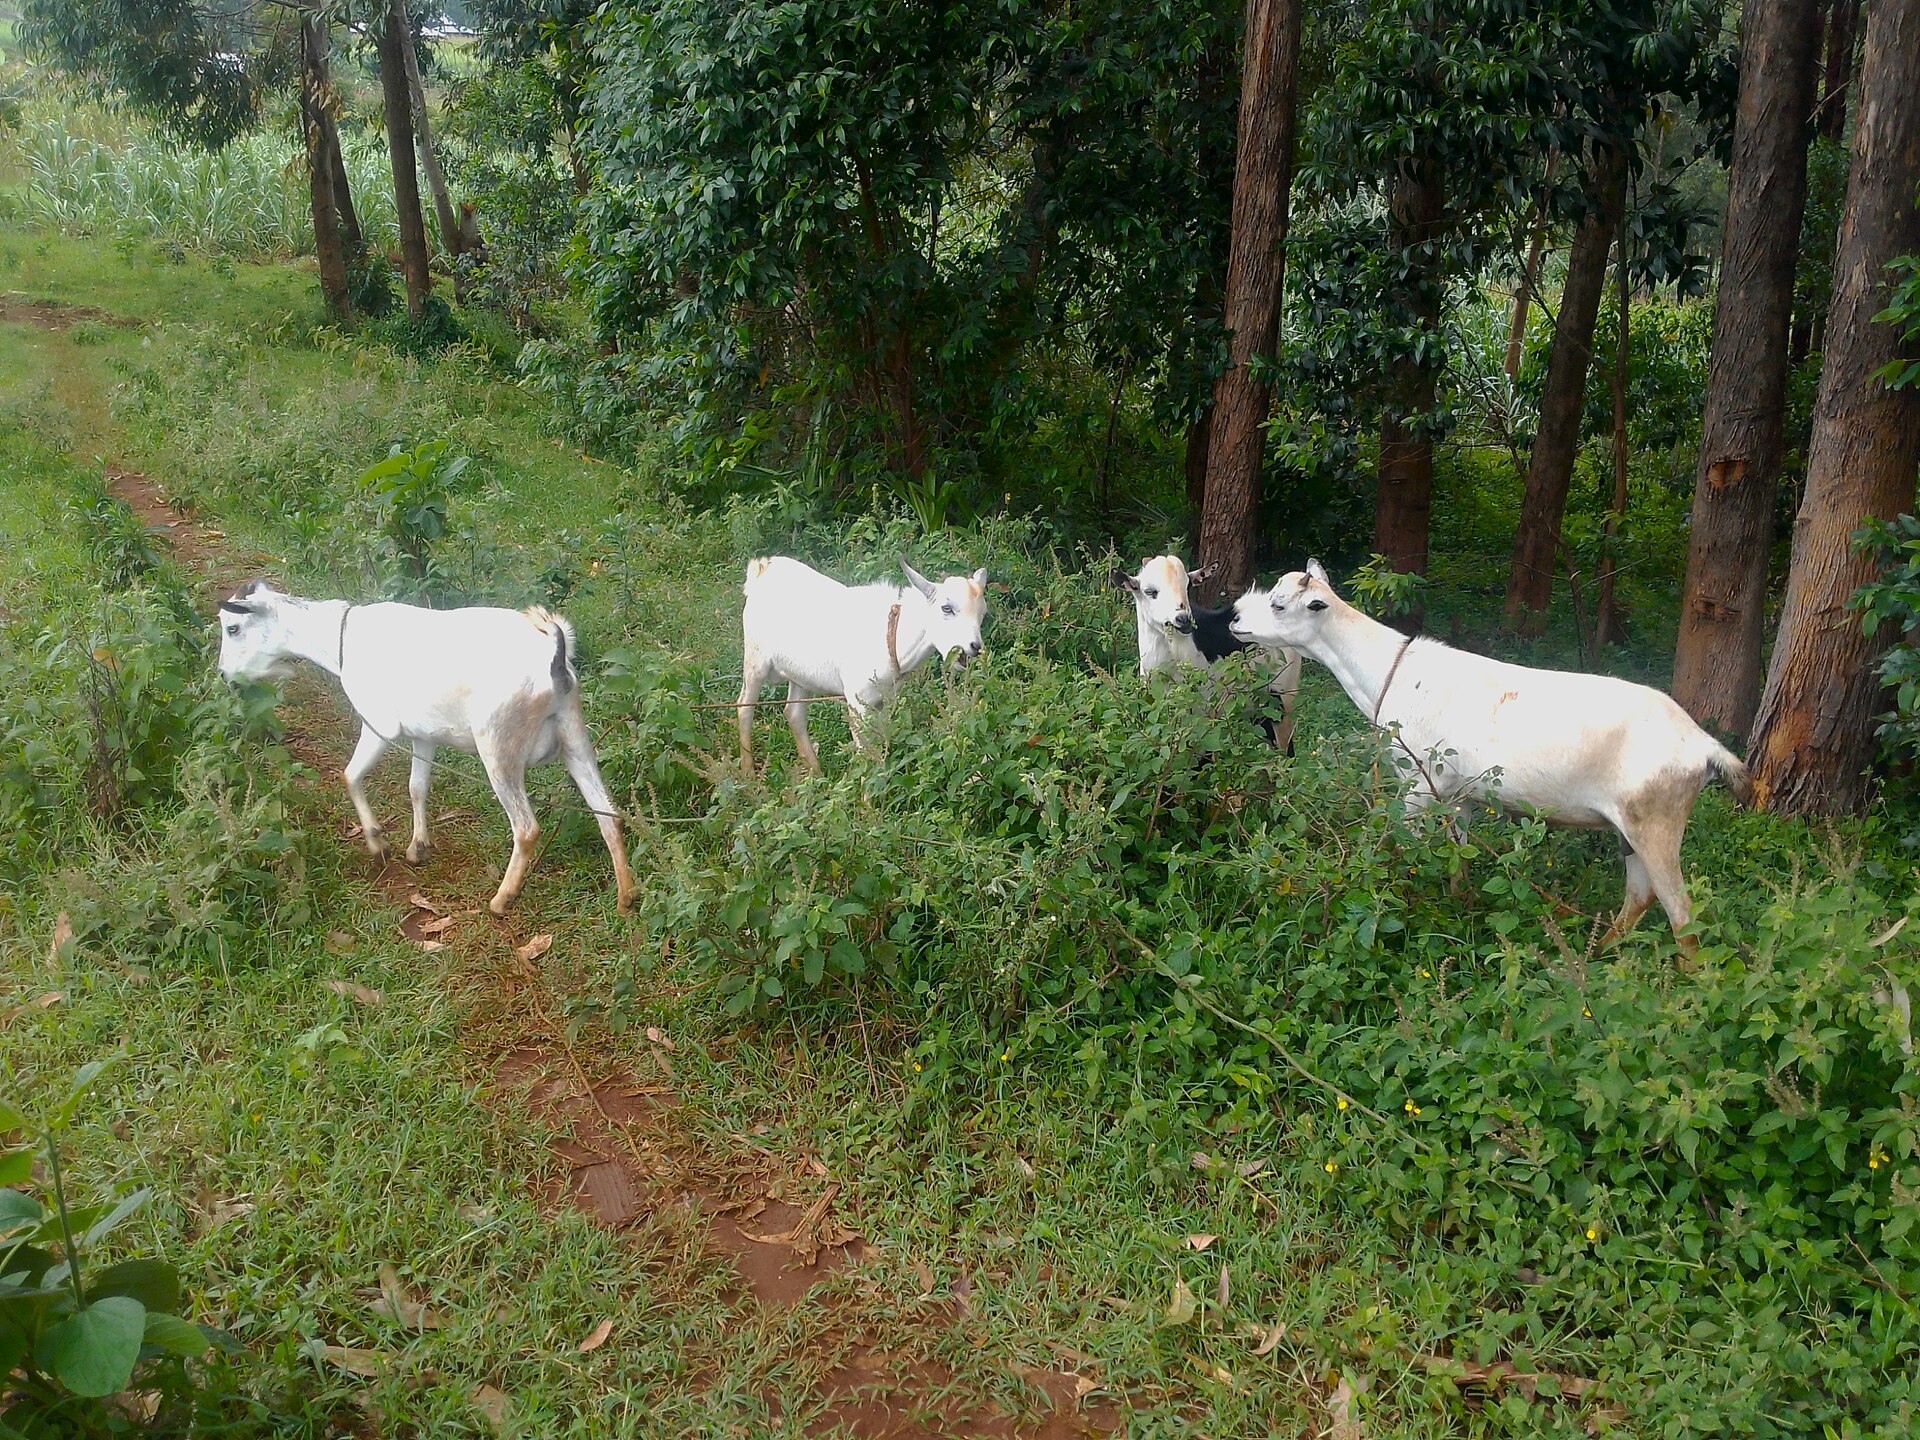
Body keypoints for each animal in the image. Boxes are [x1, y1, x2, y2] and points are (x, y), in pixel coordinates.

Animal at [217, 579, 635, 916]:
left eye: (232, 628)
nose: (224, 675)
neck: (339, 641)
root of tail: (554, 652)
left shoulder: (379, 724)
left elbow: (349, 775)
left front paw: (376, 841)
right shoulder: (424, 734)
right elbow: (417, 787)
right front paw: (418, 847)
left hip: (498, 743)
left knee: (527, 827)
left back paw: (503, 899)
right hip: (575, 734)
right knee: (608, 813)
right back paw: (626, 897)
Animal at [737, 557, 988, 774]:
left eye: (982, 613)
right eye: (947, 608)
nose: (975, 646)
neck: (893, 637)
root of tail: (762, 568)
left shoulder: (884, 700)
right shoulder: (858, 702)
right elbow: (865, 752)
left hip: (800, 675)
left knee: (794, 712)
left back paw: (816, 773)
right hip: (755, 660)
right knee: (744, 706)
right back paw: (748, 773)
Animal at [1231, 560, 1751, 947]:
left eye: (1278, 603)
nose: (1234, 619)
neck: (1393, 675)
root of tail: (1702, 745)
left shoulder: (1418, 786)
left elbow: (1407, 852)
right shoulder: (1459, 795)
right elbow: (1457, 861)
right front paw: (1461, 911)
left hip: (1657, 823)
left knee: (1683, 916)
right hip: (1630, 830)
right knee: (1639, 897)